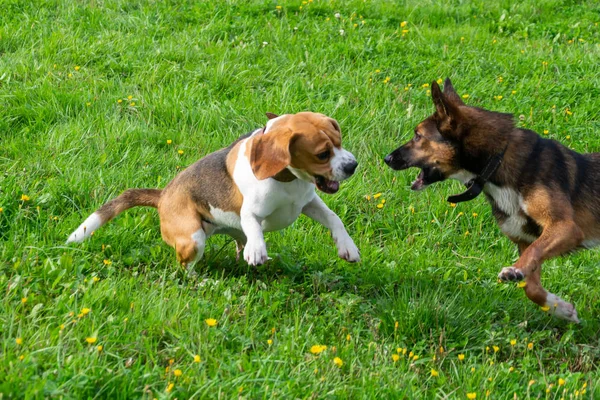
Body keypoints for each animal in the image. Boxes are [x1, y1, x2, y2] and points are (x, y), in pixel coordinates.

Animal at [70, 112, 360, 268]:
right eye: (322, 154)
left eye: (340, 141)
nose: (353, 166)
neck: (288, 180)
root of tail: (163, 195)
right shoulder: (250, 212)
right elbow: (253, 225)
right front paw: (257, 250)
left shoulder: (308, 202)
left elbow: (334, 218)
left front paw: (348, 247)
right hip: (193, 239)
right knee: (186, 267)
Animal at [384, 79, 596, 322]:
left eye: (418, 136)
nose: (387, 158)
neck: (498, 160)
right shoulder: (525, 239)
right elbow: (530, 286)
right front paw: (560, 308)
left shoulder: (566, 227)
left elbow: (534, 253)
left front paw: (514, 271)